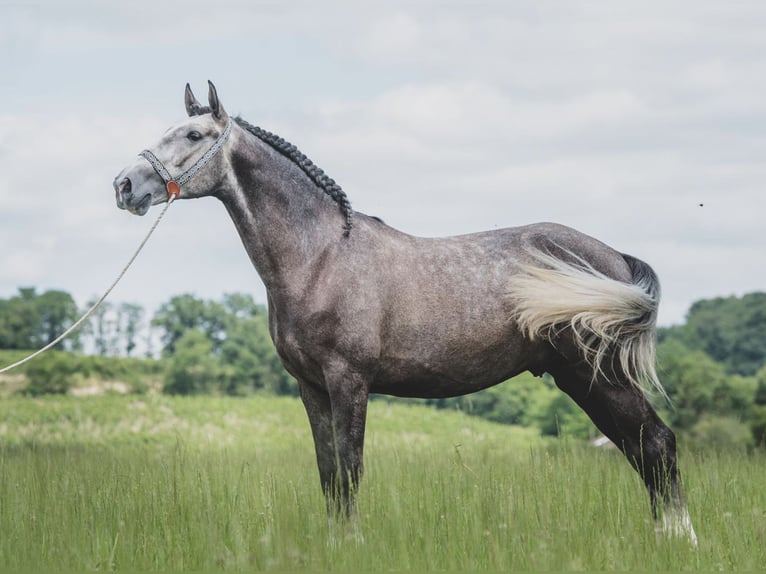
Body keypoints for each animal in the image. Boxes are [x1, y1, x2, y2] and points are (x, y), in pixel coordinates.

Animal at [115, 82, 704, 548]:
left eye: (193, 135)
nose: (125, 185)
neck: (321, 256)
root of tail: (615, 258)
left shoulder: (349, 381)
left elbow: (350, 469)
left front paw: (351, 545)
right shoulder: (311, 387)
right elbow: (328, 473)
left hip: (599, 375)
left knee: (656, 443)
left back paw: (681, 540)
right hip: (581, 379)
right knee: (640, 449)